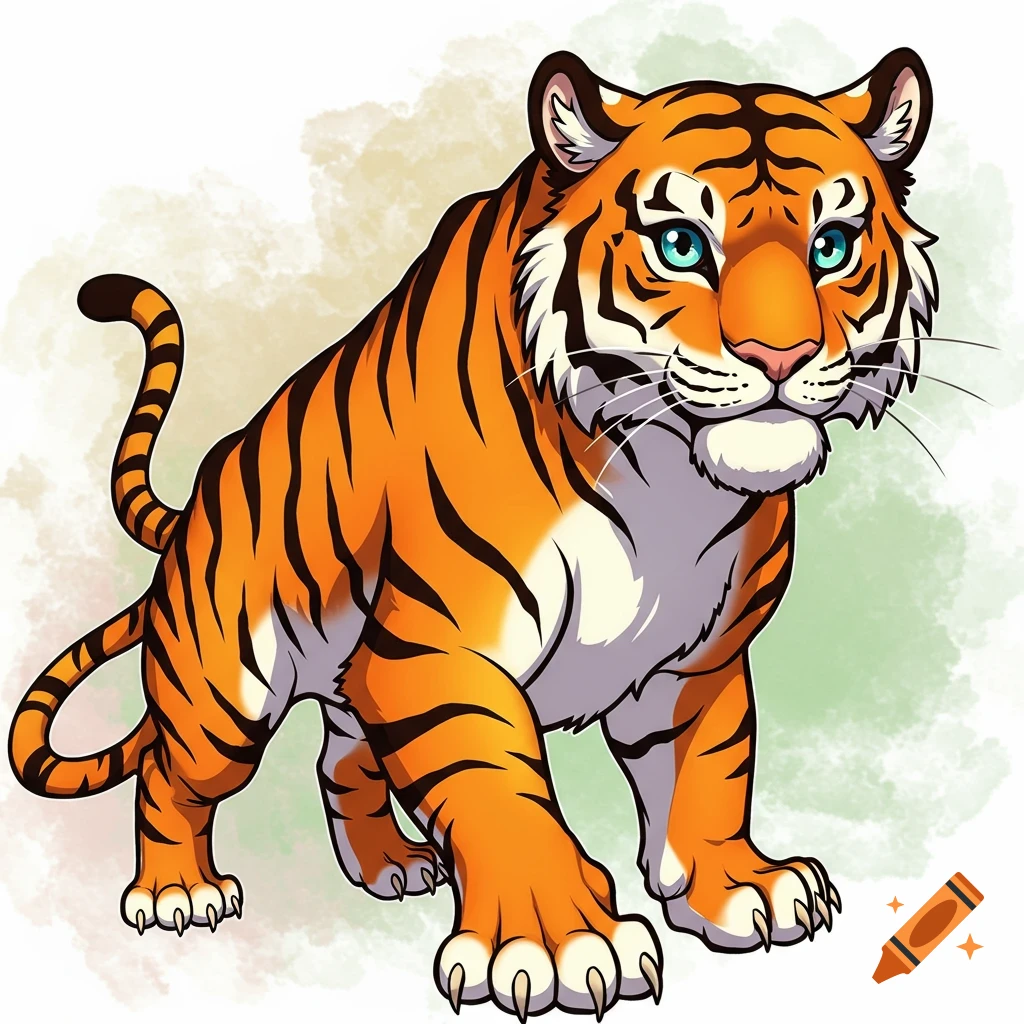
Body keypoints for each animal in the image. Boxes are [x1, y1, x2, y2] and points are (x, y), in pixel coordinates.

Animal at [10, 46, 937, 1019]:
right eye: (681, 245)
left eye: (832, 247)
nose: (782, 357)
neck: (670, 476)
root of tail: (194, 500)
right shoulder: (439, 653)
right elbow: (501, 791)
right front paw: (558, 943)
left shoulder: (697, 664)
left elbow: (710, 776)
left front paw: (738, 887)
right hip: (222, 693)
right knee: (171, 778)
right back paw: (176, 892)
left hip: (347, 683)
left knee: (341, 762)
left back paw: (390, 865)